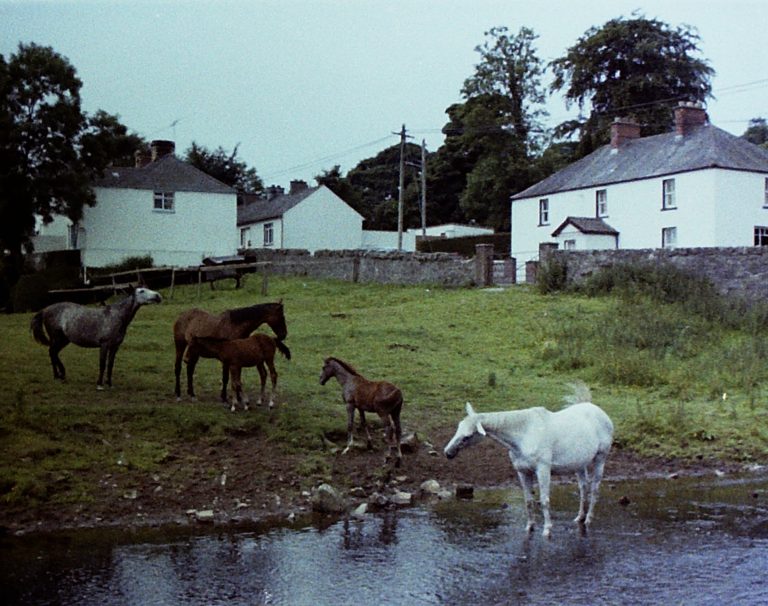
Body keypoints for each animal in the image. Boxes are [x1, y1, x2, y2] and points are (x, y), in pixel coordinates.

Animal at [31, 286, 162, 390]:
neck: (116, 316)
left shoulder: (115, 347)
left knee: (54, 353)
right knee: (52, 352)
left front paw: (110, 384)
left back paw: (60, 375)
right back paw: (58, 375)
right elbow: (102, 364)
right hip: (57, 338)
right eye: (141, 291)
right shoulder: (104, 345)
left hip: (64, 340)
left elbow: (110, 365)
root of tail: (45, 310)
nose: (158, 296)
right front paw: (99, 384)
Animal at [444, 388, 612, 540]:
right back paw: (579, 518)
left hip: (600, 458)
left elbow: (544, 501)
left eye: (467, 436)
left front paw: (547, 530)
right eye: (458, 426)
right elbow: (528, 501)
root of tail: (599, 412)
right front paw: (530, 527)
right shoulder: (523, 472)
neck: (524, 435)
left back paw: (588, 520)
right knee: (583, 488)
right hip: (579, 465)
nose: (448, 453)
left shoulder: (543, 470)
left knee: (594, 489)